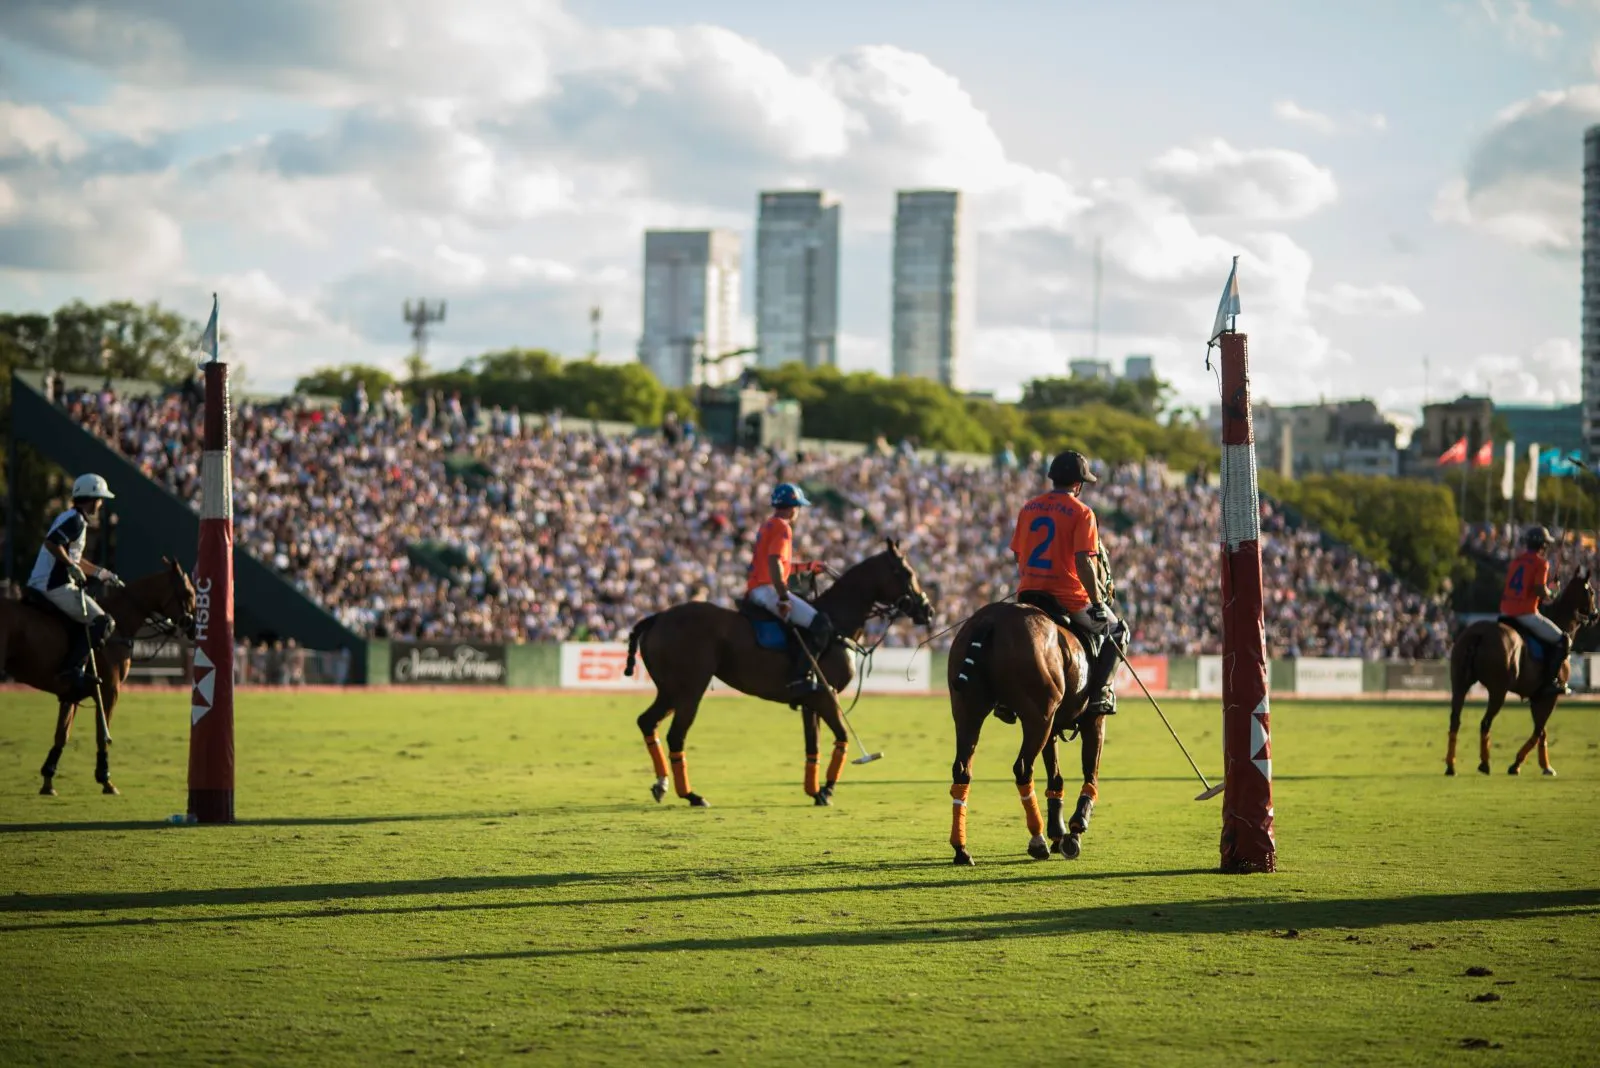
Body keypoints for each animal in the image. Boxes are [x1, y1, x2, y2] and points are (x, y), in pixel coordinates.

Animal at [0, 559, 198, 793]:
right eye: (189, 592)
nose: (194, 629)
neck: (120, 623)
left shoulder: (70, 694)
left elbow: (62, 734)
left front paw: (48, 781)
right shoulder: (109, 690)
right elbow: (102, 735)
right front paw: (106, 779)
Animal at [620, 543, 934, 808]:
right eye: (907, 573)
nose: (928, 611)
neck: (837, 624)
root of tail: (657, 617)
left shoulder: (810, 701)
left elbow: (813, 746)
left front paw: (814, 791)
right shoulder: (826, 695)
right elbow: (843, 736)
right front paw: (828, 790)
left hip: (669, 689)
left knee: (647, 721)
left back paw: (661, 784)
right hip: (690, 689)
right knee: (676, 736)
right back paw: (692, 795)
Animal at [940, 604, 1107, 863]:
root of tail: (991, 619)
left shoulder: (1054, 727)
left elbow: (1055, 775)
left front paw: (1058, 834)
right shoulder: (1093, 719)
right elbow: (1091, 774)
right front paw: (1075, 829)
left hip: (968, 709)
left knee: (962, 770)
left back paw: (961, 850)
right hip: (1039, 715)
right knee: (1022, 768)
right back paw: (1037, 841)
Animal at [1446, 575, 1593, 777]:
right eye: (1592, 591)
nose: (1595, 614)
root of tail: (1479, 634)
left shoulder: (1537, 697)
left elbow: (1542, 731)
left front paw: (1546, 766)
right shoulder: (1550, 696)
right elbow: (1538, 731)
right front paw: (1516, 764)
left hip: (1459, 682)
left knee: (1455, 720)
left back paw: (1451, 766)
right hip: (1498, 690)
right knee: (1485, 722)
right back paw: (1484, 763)